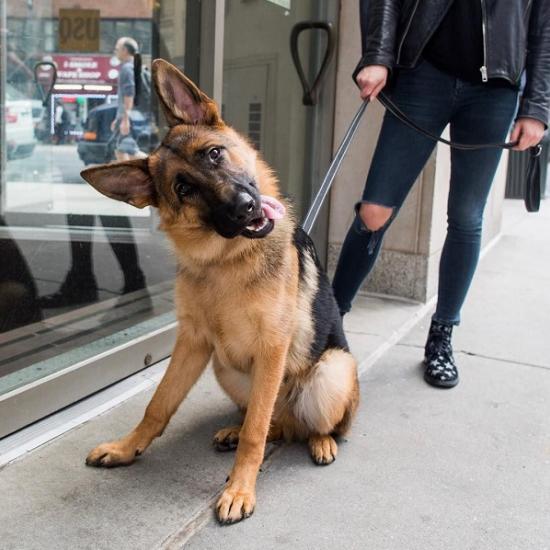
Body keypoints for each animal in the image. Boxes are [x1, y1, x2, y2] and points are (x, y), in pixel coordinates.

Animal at [81, 59, 358, 528]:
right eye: (184, 189)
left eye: (213, 154)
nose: (245, 207)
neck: (226, 262)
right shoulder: (193, 342)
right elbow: (158, 405)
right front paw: (126, 447)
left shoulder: (271, 348)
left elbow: (255, 435)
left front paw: (240, 489)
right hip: (226, 368)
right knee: (272, 422)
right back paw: (236, 429)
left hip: (331, 371)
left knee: (305, 425)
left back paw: (321, 441)